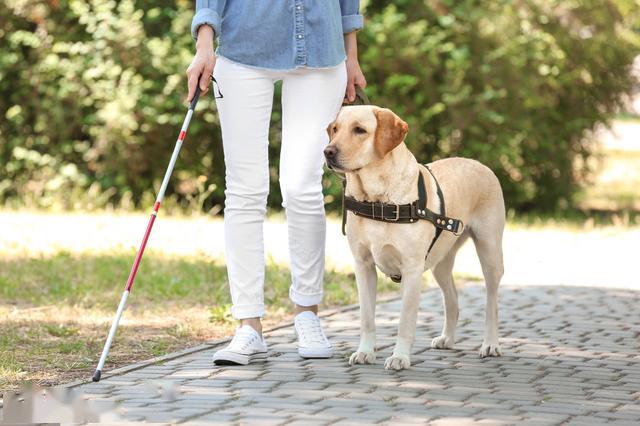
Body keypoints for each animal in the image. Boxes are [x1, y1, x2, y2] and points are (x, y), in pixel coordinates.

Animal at [324, 105, 504, 370]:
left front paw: (399, 356)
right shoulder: (363, 266)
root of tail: (479, 163)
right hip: (440, 263)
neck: (378, 200)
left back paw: (490, 344)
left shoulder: (411, 268)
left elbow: (405, 321)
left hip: (489, 252)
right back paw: (448, 338)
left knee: (492, 302)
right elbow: (367, 318)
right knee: (452, 298)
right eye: (335, 129)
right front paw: (365, 351)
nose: (327, 152)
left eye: (360, 130)